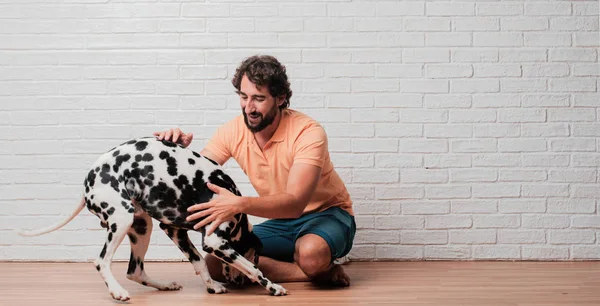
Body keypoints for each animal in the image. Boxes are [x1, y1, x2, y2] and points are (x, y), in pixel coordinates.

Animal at [17, 137, 290, 300]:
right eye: (256, 254)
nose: (240, 285)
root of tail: (88, 181)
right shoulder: (215, 242)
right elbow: (253, 269)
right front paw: (273, 287)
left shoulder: (174, 230)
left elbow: (199, 262)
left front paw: (212, 285)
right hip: (122, 220)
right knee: (102, 261)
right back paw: (117, 292)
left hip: (141, 227)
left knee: (134, 271)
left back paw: (164, 285)